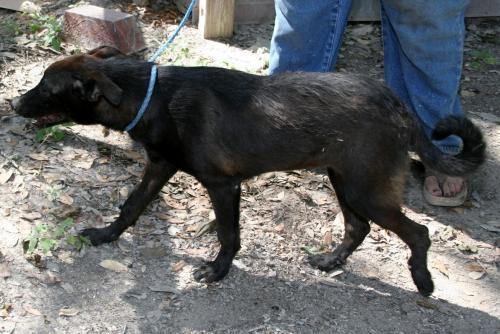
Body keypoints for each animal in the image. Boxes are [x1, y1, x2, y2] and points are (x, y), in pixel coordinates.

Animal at [10, 46, 484, 294]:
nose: (13, 102)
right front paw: (106, 235)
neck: (153, 96)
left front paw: (217, 271)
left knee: (417, 232)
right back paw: (331, 260)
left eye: (46, 88)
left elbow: (228, 234)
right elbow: (131, 206)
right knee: (358, 227)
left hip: (366, 187)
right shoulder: (159, 167)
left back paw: (422, 280)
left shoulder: (223, 185)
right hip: (344, 179)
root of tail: (399, 105)